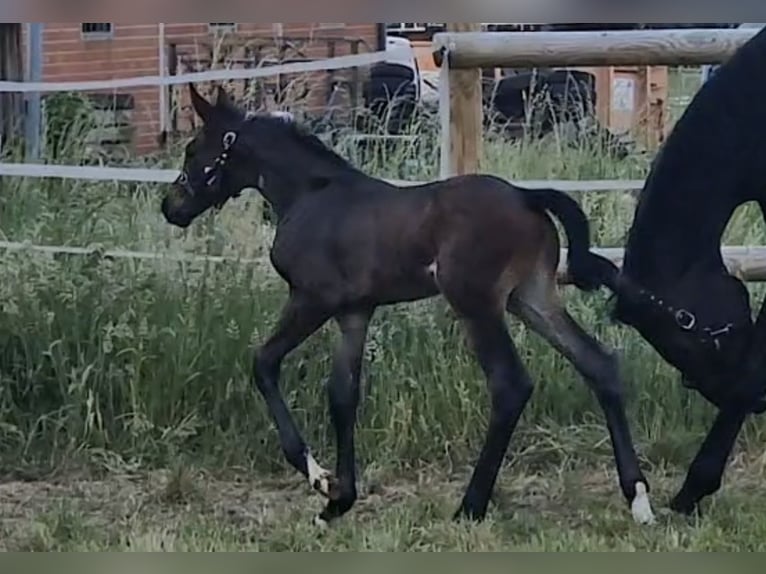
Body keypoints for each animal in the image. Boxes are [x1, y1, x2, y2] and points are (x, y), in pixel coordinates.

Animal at [160, 83, 656, 528]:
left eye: (192, 149)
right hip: (531, 298)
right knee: (598, 364)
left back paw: (470, 507)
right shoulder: (355, 312)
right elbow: (343, 395)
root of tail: (526, 196)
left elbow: (264, 363)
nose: (171, 207)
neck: (309, 194)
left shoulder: (312, 299)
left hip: (476, 303)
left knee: (510, 385)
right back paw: (638, 499)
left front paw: (319, 478)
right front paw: (338, 502)